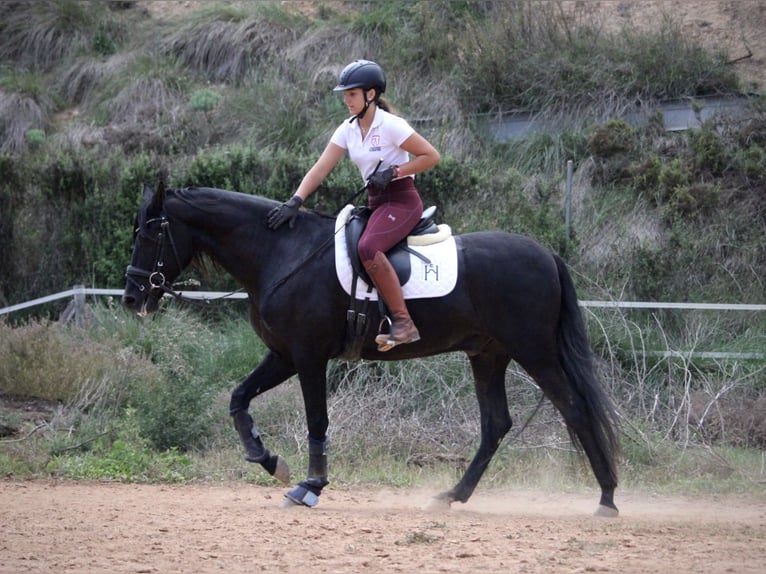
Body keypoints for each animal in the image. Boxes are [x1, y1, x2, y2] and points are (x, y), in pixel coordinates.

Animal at [123, 184, 620, 516]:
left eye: (148, 234)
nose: (131, 298)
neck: (281, 252)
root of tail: (546, 254)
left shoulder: (308, 357)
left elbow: (317, 421)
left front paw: (310, 485)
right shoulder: (283, 355)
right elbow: (238, 398)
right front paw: (268, 460)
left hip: (534, 351)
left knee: (575, 408)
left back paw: (608, 498)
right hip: (488, 355)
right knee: (496, 424)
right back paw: (452, 496)